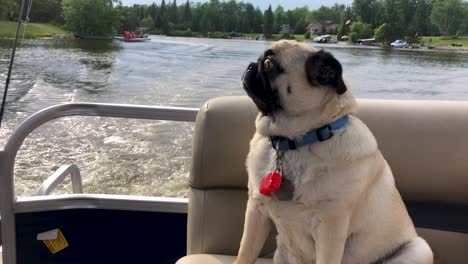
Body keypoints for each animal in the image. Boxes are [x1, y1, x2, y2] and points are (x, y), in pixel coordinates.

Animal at [236, 39, 434, 264]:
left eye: (269, 64)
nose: (250, 65)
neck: (293, 143)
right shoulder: (256, 210)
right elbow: (245, 252)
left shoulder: (330, 227)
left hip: (419, 249)